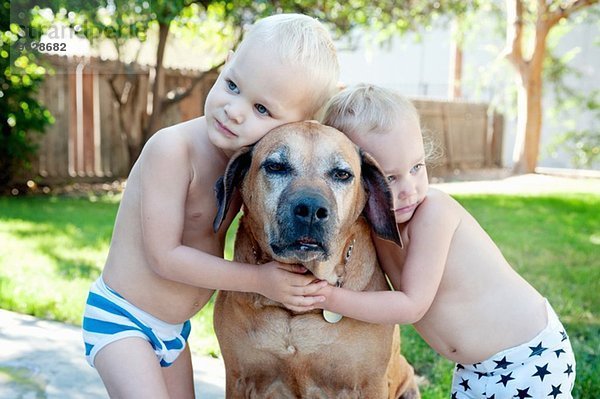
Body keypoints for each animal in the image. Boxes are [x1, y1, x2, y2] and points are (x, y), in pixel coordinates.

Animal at [214, 122, 418, 399]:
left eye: (342, 174)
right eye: (275, 166)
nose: (311, 209)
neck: (295, 312)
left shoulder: (370, 384)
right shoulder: (238, 379)